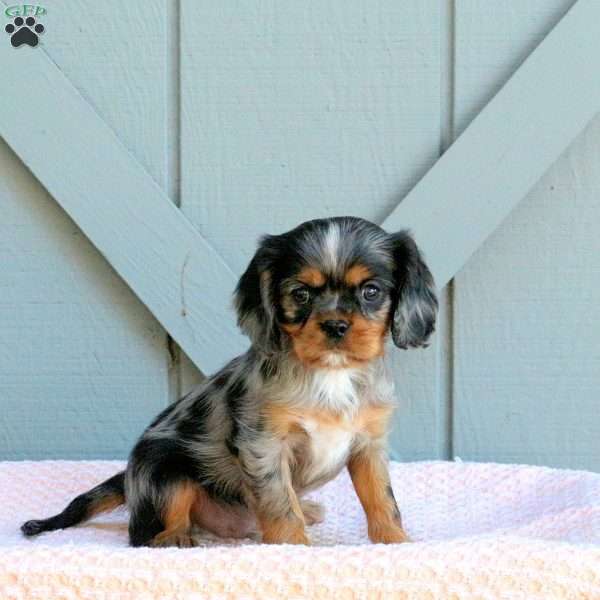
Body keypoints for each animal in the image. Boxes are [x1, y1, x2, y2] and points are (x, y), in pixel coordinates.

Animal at [21, 217, 438, 548]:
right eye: (300, 294)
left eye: (371, 291)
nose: (335, 325)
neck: (330, 374)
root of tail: (129, 479)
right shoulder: (264, 445)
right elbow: (280, 505)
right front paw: (294, 548)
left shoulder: (368, 445)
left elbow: (382, 500)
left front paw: (396, 542)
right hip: (166, 472)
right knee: (144, 534)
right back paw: (175, 538)